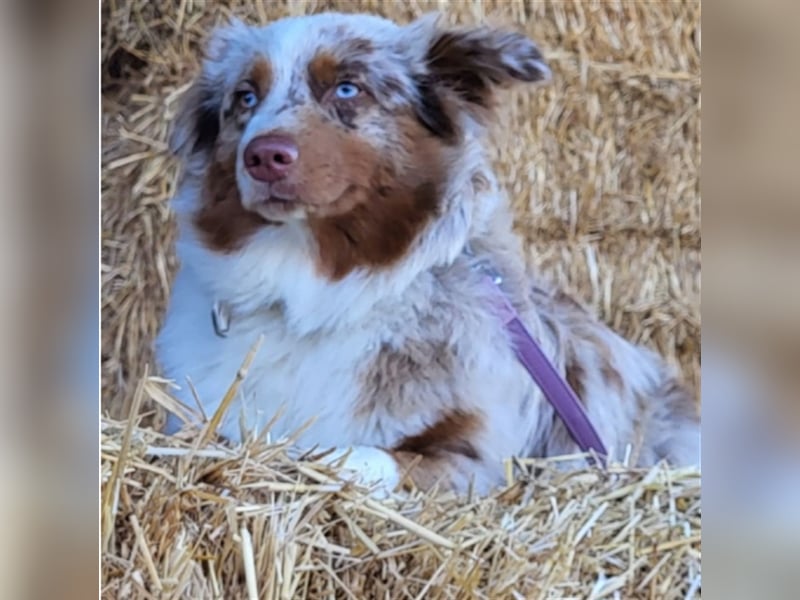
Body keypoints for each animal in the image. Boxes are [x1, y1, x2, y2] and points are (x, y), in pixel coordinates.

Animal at [156, 11, 700, 494]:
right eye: (245, 97)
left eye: (348, 88)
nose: (264, 156)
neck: (309, 290)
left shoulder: (479, 461)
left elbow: (352, 455)